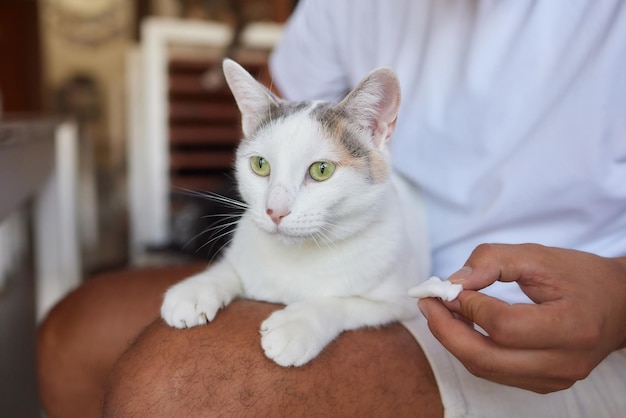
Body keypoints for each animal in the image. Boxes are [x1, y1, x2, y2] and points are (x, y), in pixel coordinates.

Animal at [160, 58, 428, 366]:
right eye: (260, 164)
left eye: (322, 170)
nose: (275, 210)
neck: (298, 255)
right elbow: (228, 270)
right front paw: (195, 288)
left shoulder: (400, 303)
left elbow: (344, 303)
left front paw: (299, 324)